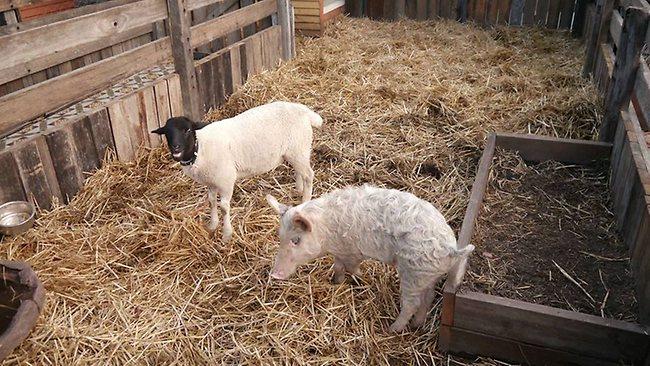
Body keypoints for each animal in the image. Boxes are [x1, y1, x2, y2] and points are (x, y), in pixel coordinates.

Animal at [153, 101, 324, 242]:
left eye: (187, 130)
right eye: (167, 132)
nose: (176, 147)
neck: (199, 148)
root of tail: (304, 110)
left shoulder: (225, 180)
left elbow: (224, 207)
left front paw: (226, 234)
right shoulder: (211, 181)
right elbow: (211, 201)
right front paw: (212, 225)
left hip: (298, 148)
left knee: (309, 174)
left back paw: (305, 200)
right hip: (296, 151)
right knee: (301, 172)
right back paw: (299, 189)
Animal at [266, 184, 474, 334]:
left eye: (295, 240)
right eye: (280, 237)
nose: (274, 274)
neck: (326, 231)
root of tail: (452, 249)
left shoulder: (352, 252)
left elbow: (351, 267)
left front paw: (360, 277)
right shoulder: (340, 252)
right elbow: (338, 267)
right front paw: (336, 282)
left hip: (413, 273)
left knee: (412, 304)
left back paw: (391, 329)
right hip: (427, 275)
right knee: (428, 297)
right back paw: (416, 325)